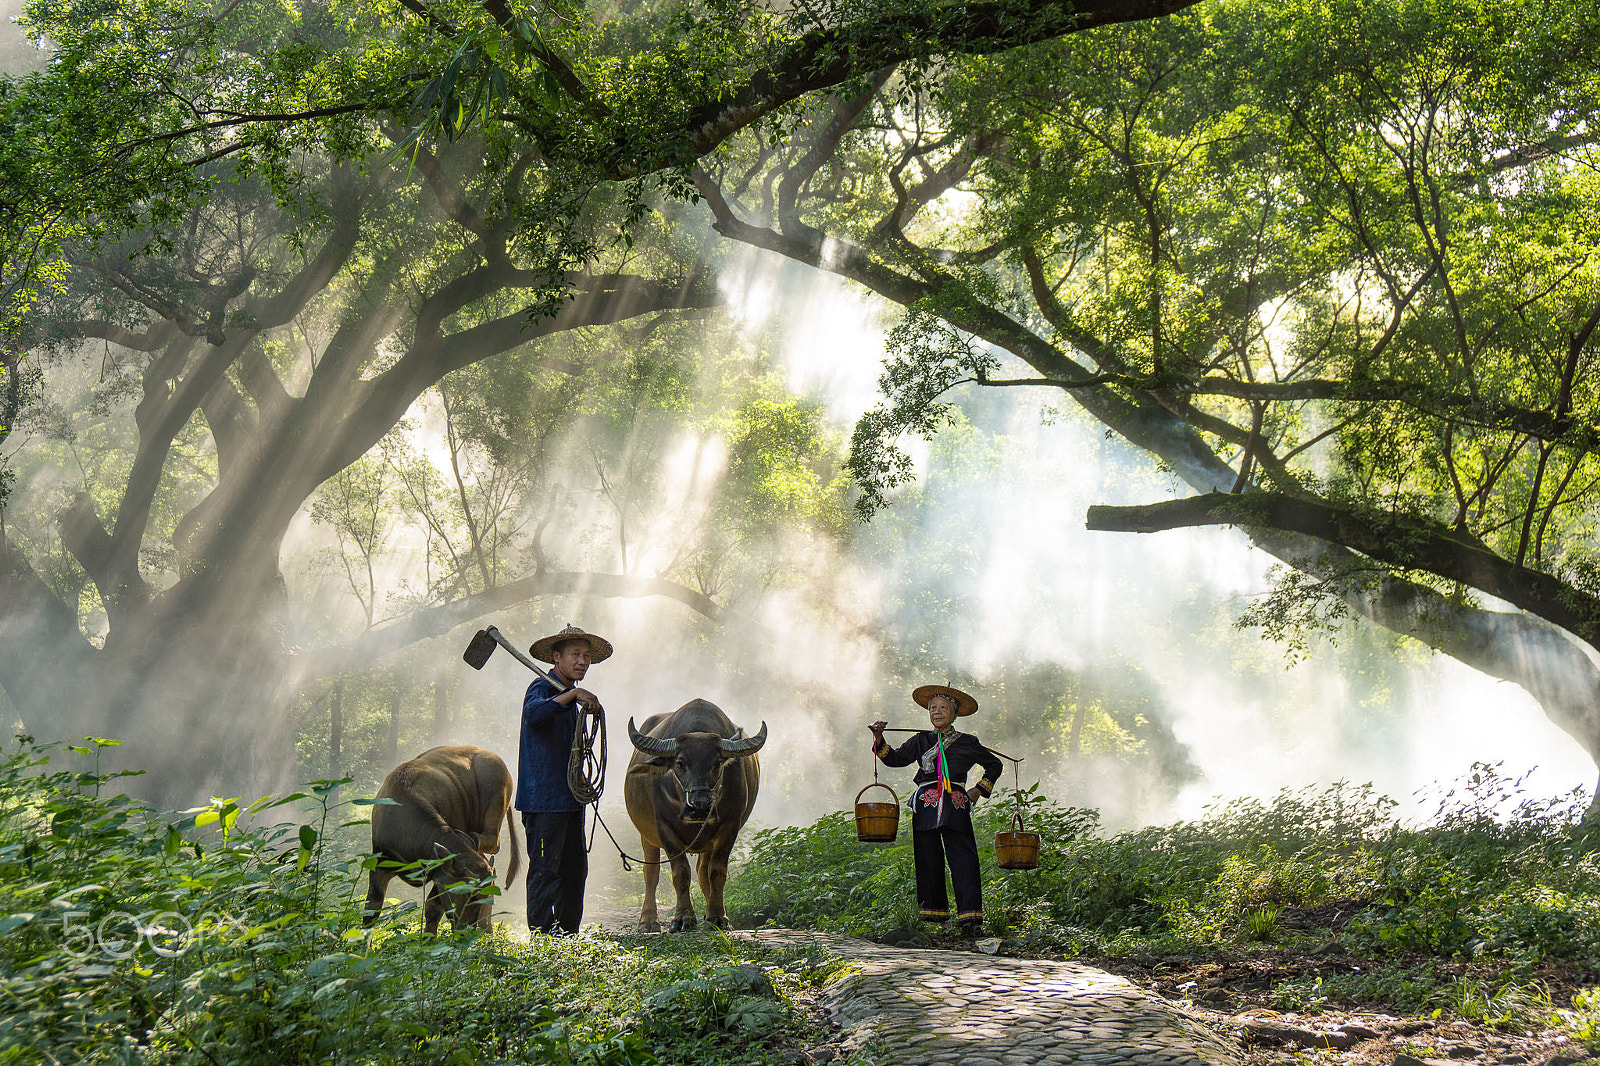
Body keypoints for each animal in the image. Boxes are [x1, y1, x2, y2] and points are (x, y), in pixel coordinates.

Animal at [363, 739, 518, 928]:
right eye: (468, 895)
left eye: (481, 896)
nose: (467, 929)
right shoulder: (379, 862)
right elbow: (372, 908)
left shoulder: (440, 872)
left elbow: (433, 908)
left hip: (496, 804)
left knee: (493, 841)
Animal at [620, 694, 764, 928]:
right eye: (680, 763)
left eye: (717, 763)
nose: (700, 807)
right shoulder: (664, 828)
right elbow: (680, 873)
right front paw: (683, 918)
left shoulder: (729, 827)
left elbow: (716, 872)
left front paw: (717, 916)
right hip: (646, 835)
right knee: (651, 872)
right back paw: (648, 920)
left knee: (703, 871)